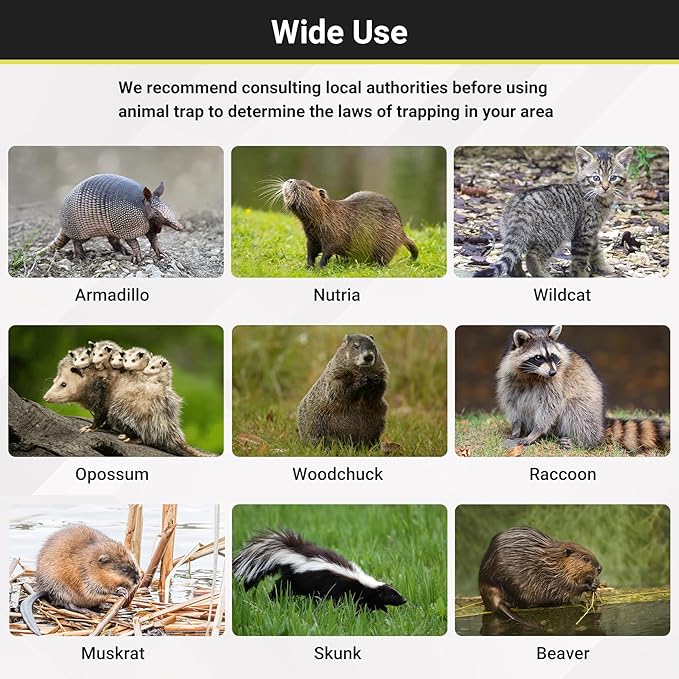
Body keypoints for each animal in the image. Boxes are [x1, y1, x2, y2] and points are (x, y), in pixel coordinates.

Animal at [473, 146, 634, 277]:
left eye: (613, 178)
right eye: (596, 178)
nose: (605, 187)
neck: (598, 198)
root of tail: (518, 207)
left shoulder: (590, 232)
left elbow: (596, 251)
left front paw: (603, 268)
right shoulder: (584, 232)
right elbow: (580, 258)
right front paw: (581, 275)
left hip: (512, 232)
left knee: (516, 255)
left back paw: (520, 275)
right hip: (553, 233)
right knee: (532, 256)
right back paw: (543, 275)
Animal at [496, 325, 668, 452]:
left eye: (552, 356)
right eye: (538, 357)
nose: (552, 372)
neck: (532, 374)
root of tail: (600, 424)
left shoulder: (555, 384)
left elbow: (549, 408)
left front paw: (536, 432)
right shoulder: (509, 380)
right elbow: (512, 404)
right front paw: (516, 427)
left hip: (587, 407)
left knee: (576, 411)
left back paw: (582, 441)